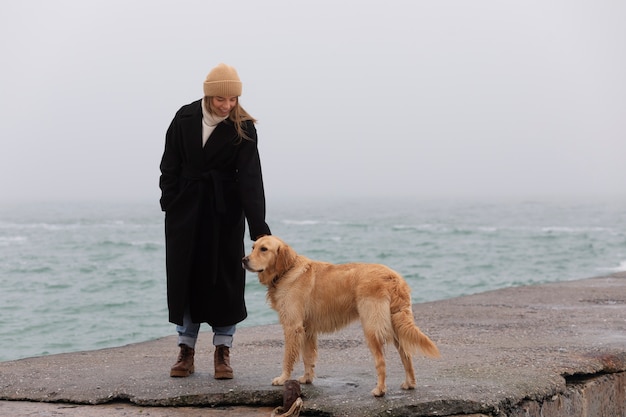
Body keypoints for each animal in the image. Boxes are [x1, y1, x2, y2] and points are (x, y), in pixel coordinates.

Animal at [240, 236, 438, 394]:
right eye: (253, 247)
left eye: (264, 249)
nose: (243, 260)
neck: (287, 271)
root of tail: (394, 278)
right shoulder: (307, 329)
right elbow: (308, 357)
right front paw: (307, 378)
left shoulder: (292, 326)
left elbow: (288, 357)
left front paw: (282, 378)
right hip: (397, 326)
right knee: (407, 357)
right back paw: (409, 383)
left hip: (372, 328)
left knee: (381, 361)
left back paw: (379, 390)